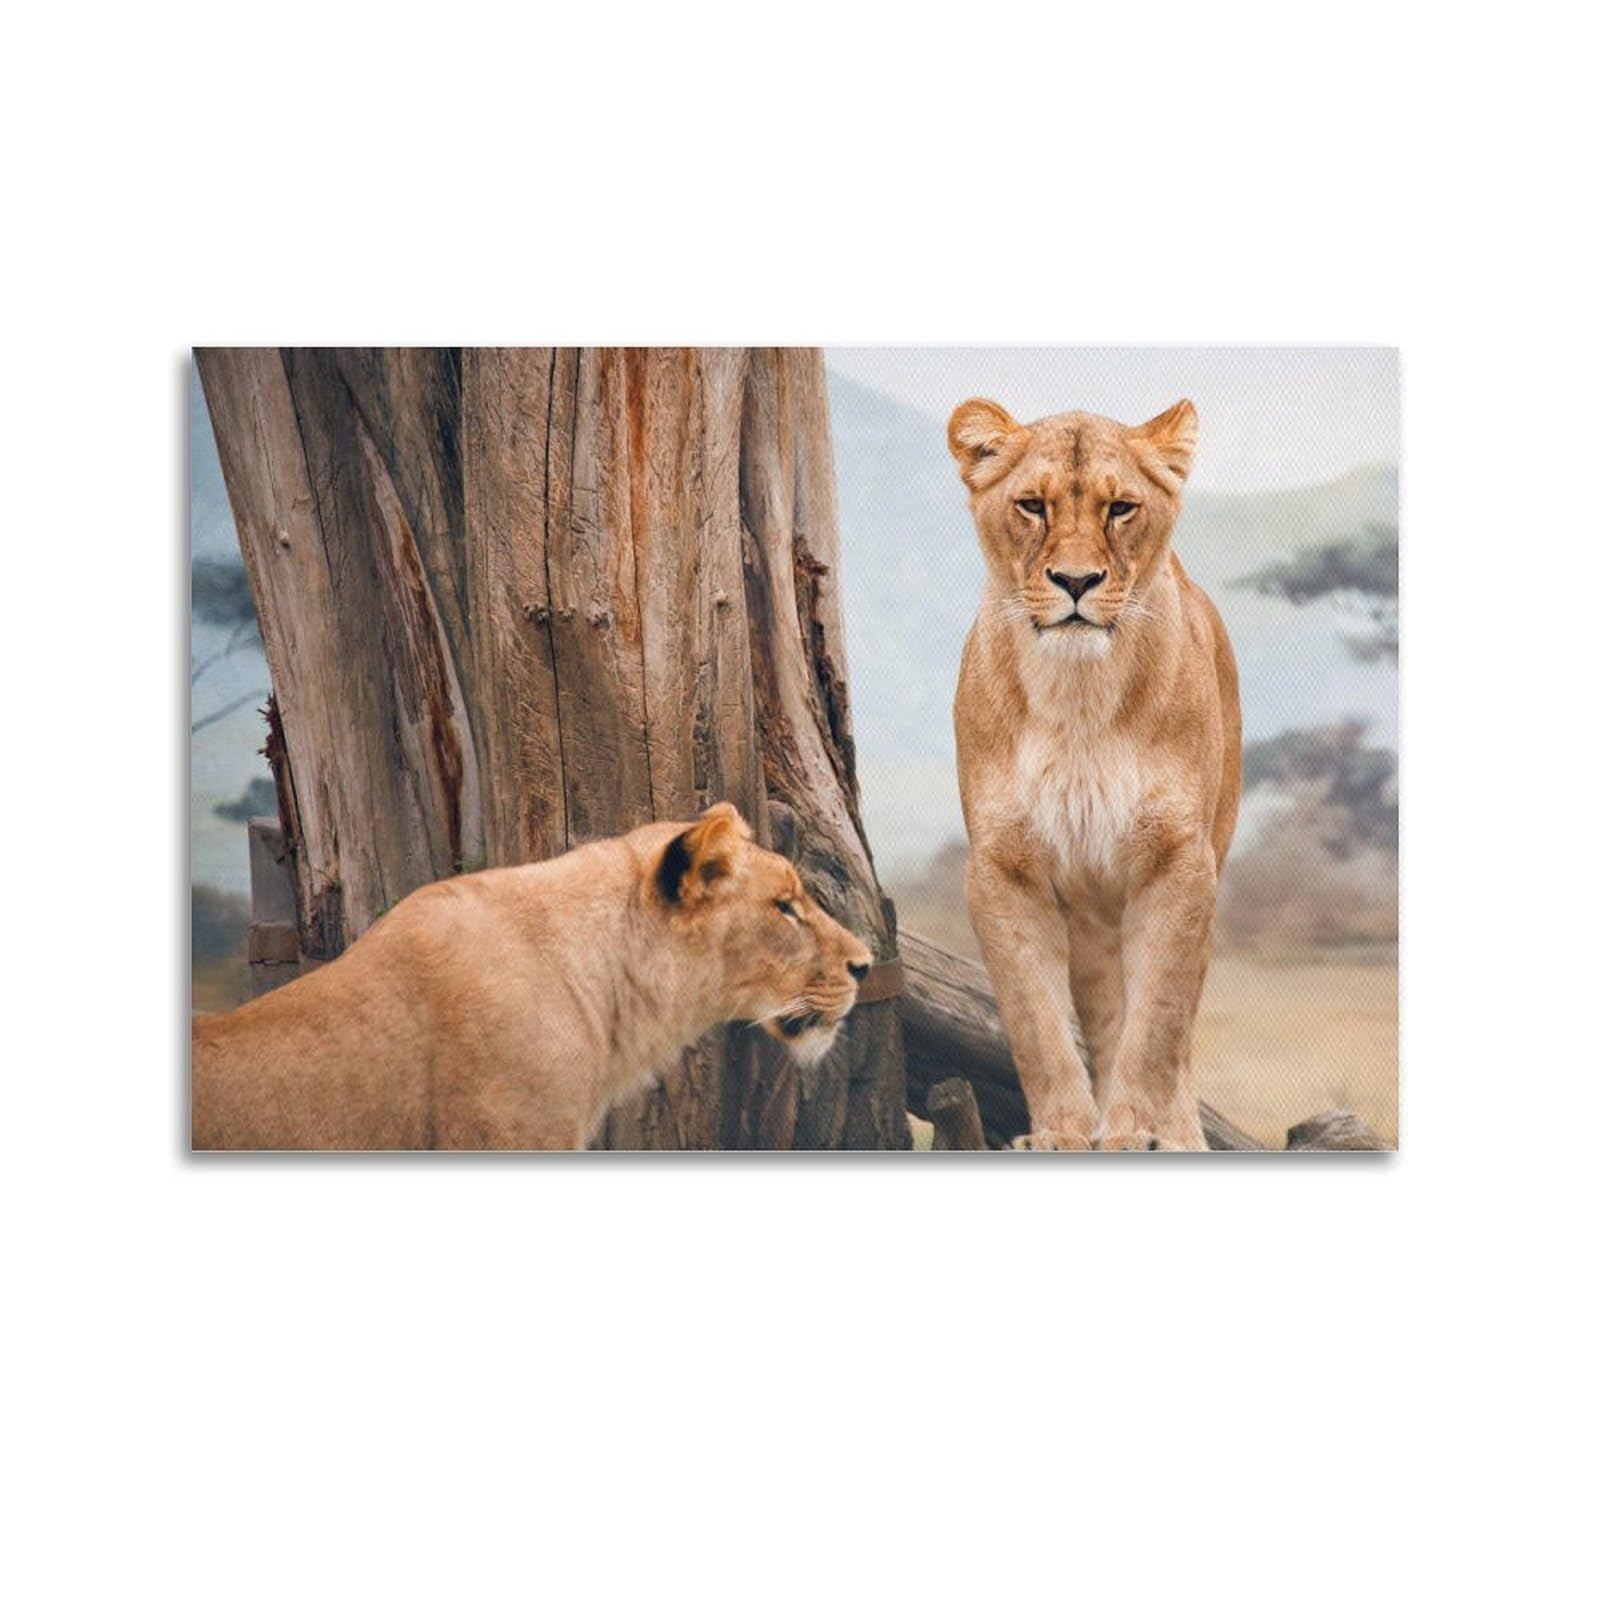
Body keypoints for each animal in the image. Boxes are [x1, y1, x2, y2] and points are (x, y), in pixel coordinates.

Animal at [947, 397, 1242, 1150]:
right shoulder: (1001, 867)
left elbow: (1159, 1023)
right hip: (1090, 914)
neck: (1077, 696)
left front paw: (1139, 1130)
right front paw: (1061, 1132)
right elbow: (1036, 1021)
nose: (1076, 583)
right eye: (1032, 505)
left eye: (1121, 509)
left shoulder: (1179, 861)